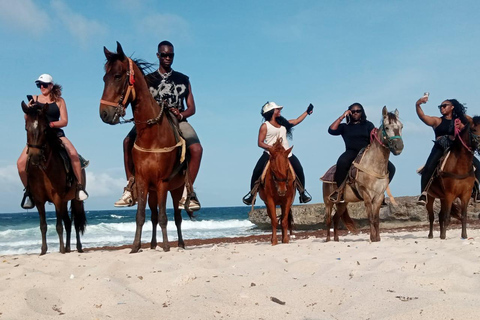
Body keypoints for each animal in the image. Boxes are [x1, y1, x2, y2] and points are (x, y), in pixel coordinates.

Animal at [21, 102, 86, 255]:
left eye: (45, 129)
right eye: (26, 128)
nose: (35, 157)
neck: (43, 169)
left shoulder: (57, 197)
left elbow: (58, 226)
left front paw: (61, 249)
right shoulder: (39, 200)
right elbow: (43, 225)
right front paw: (43, 250)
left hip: (75, 200)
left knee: (75, 223)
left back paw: (77, 247)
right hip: (64, 201)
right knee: (68, 222)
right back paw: (68, 248)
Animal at [100, 42, 189, 252]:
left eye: (117, 76)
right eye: (104, 78)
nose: (104, 114)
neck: (152, 135)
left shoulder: (163, 182)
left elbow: (165, 217)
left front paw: (166, 246)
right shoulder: (142, 181)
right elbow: (141, 216)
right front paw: (135, 246)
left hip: (176, 189)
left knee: (177, 217)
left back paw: (180, 244)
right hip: (153, 191)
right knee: (154, 216)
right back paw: (153, 244)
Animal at [322, 106, 404, 241]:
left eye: (401, 126)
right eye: (387, 127)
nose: (399, 147)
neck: (373, 166)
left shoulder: (378, 196)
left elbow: (376, 219)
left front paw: (377, 238)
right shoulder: (366, 194)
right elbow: (370, 217)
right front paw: (372, 238)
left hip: (343, 203)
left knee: (336, 218)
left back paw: (336, 239)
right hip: (328, 202)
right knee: (328, 220)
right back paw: (328, 240)